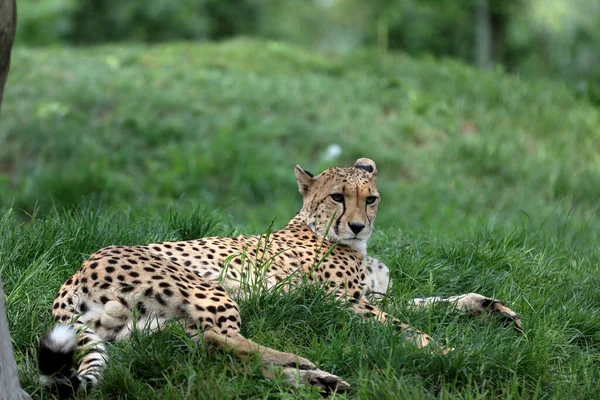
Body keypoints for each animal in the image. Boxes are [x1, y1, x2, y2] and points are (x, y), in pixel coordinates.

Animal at [39, 157, 524, 396]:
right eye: (337, 197)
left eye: (370, 198)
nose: (357, 226)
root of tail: (74, 272)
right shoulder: (347, 303)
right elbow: (409, 328)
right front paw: (450, 352)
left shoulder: (372, 298)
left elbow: (432, 303)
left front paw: (490, 308)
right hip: (209, 290)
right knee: (220, 341)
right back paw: (304, 364)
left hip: (153, 327)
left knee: (215, 355)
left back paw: (321, 380)